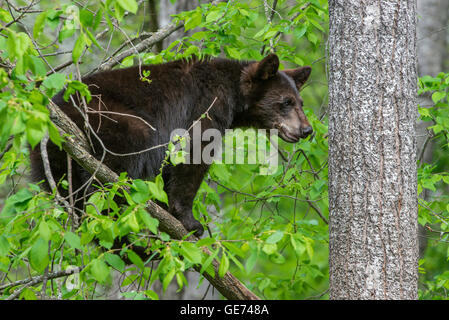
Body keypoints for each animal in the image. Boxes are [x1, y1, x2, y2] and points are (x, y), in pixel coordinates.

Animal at [30, 53, 312, 236]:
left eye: (300, 102)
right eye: (286, 102)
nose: (306, 130)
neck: (232, 92)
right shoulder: (205, 107)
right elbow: (193, 157)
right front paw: (190, 221)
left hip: (52, 163)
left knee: (73, 199)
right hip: (113, 121)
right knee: (110, 178)